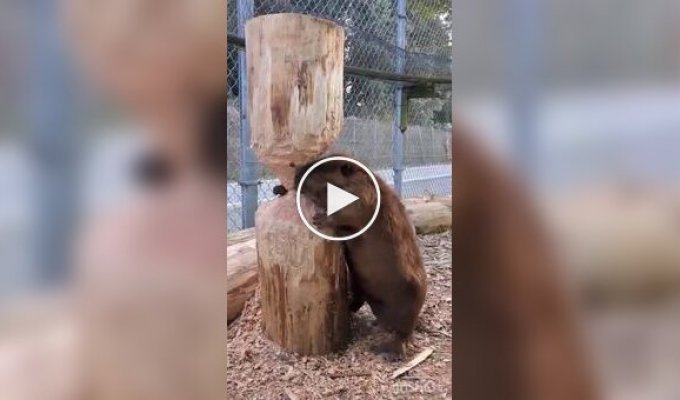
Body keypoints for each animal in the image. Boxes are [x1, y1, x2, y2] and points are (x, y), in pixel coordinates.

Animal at [292, 155, 424, 356]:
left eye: (316, 168)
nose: (296, 175)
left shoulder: (366, 193)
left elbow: (353, 210)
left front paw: (320, 218)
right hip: (359, 282)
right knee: (359, 299)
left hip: (411, 296)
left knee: (404, 331)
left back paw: (388, 349)